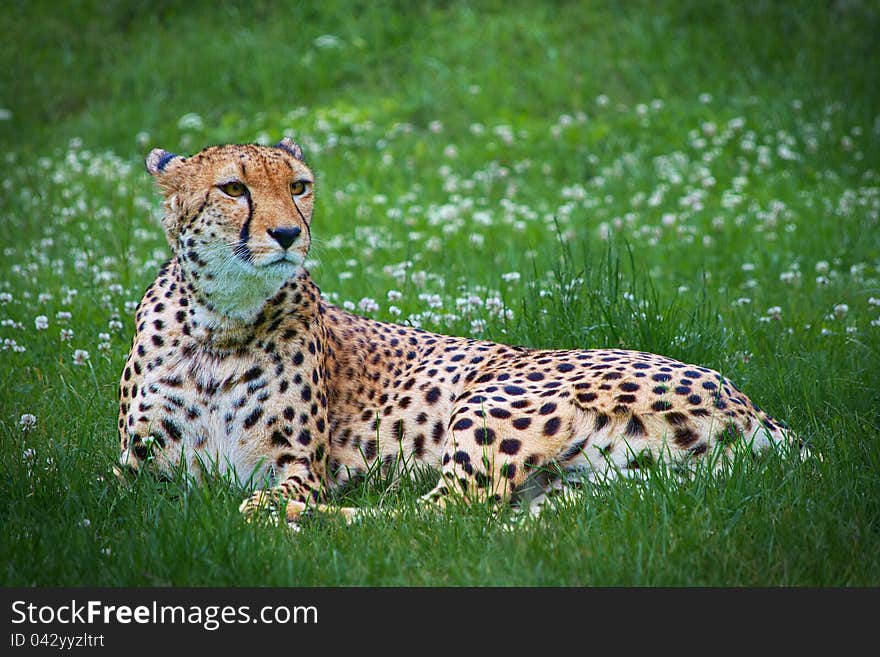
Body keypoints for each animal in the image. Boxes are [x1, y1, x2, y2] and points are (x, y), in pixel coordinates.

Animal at [117, 137, 796, 524]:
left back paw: (317, 521)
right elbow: (119, 508)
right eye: (234, 188)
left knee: (439, 515)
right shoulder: (131, 476)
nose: (288, 234)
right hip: (600, 487)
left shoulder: (299, 468)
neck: (222, 322)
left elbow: (266, 496)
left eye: (299, 186)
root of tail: (752, 405)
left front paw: (261, 512)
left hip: (495, 398)